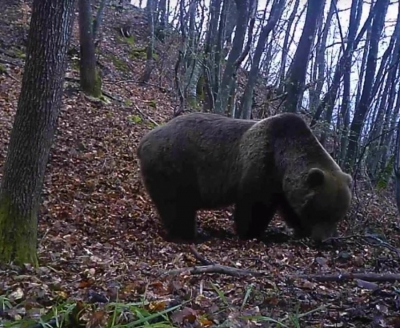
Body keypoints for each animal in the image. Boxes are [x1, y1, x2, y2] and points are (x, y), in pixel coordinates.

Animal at [138, 113, 354, 243]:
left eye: (338, 215)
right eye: (322, 212)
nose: (324, 240)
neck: (282, 159)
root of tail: (145, 139)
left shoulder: (282, 186)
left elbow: (289, 209)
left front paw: (300, 229)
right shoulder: (261, 165)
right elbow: (254, 206)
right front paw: (252, 233)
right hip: (176, 166)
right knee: (177, 206)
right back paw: (189, 234)